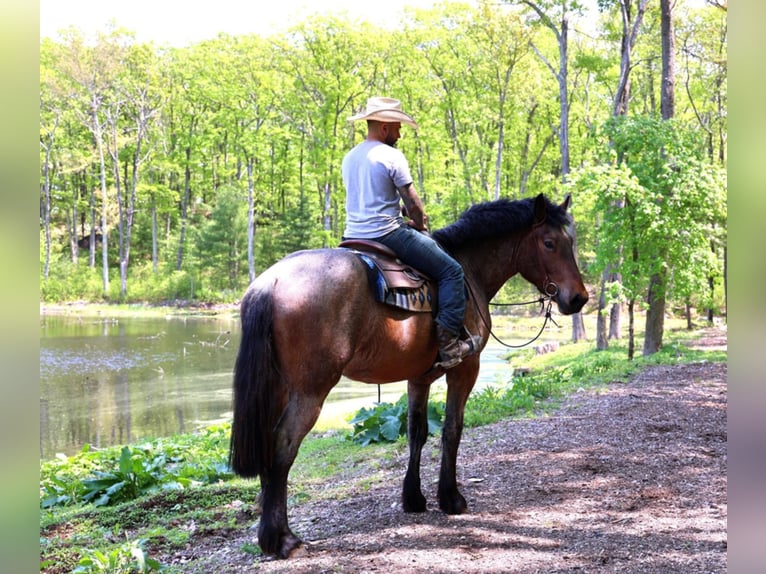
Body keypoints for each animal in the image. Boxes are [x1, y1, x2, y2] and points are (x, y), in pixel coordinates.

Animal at [228, 194, 588, 560]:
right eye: (549, 242)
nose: (579, 298)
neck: (468, 269)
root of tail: (271, 282)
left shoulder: (419, 378)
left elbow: (417, 432)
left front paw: (413, 497)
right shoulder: (465, 369)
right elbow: (452, 430)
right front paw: (451, 498)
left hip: (277, 388)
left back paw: (270, 531)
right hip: (310, 390)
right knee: (283, 445)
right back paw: (282, 538)